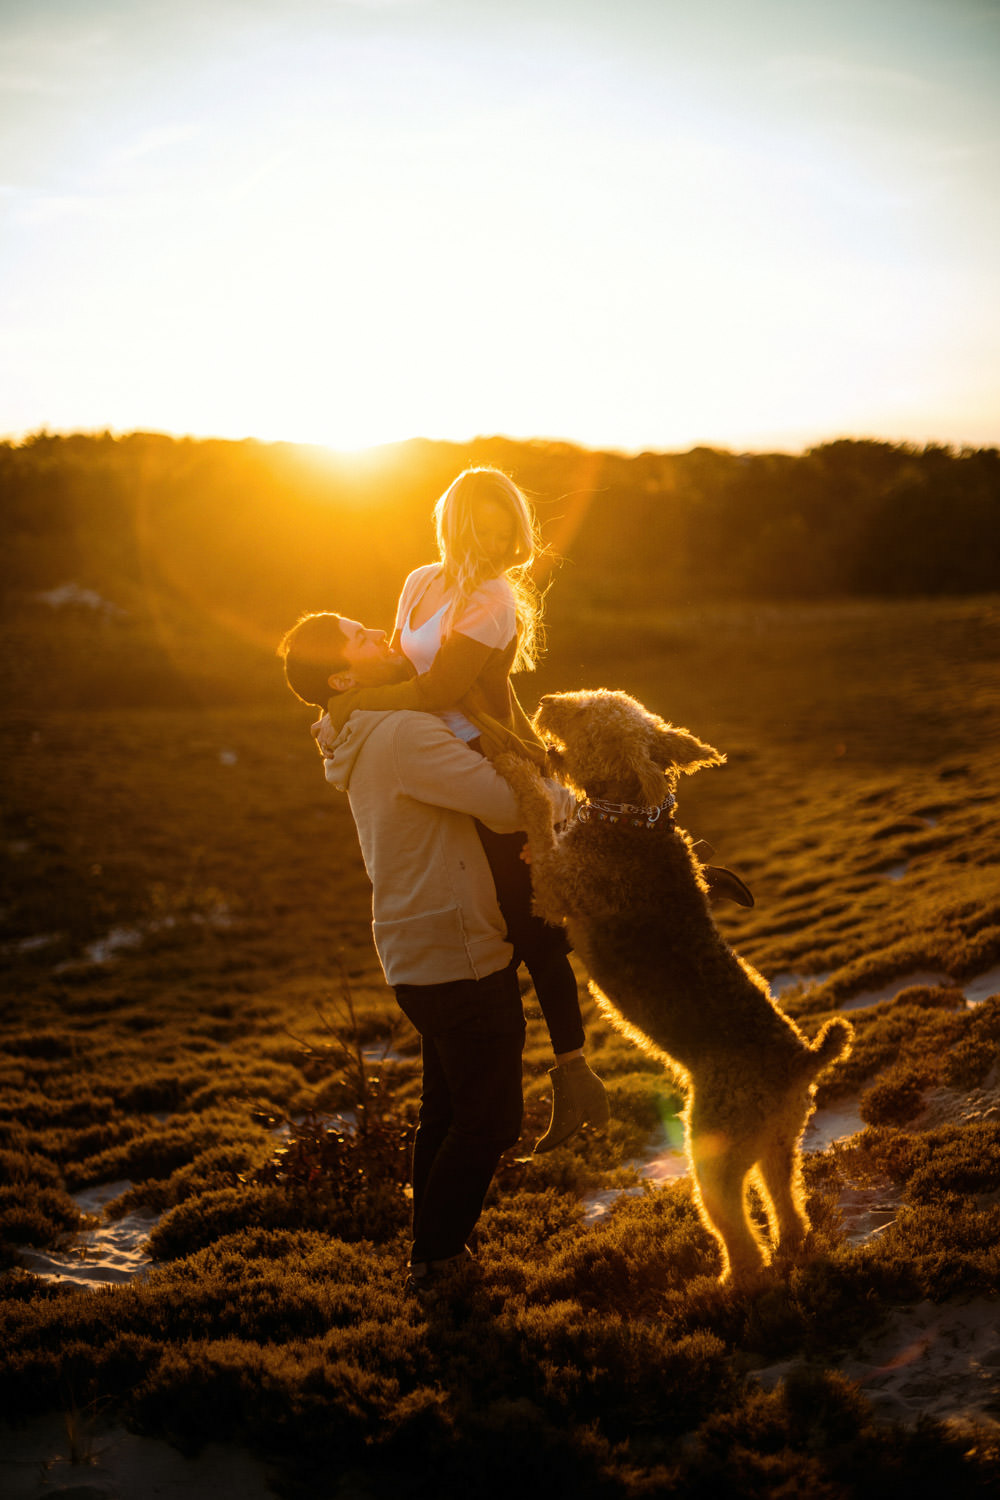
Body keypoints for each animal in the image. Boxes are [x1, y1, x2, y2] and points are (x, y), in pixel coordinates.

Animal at [500, 687, 851, 1284]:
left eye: (588, 714)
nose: (546, 700)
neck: (631, 820)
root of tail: (801, 1062)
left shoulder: (556, 887)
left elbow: (540, 821)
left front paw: (517, 770)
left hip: (711, 1152)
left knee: (736, 1228)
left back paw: (732, 1281)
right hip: (781, 1144)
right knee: (786, 1201)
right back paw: (790, 1246)